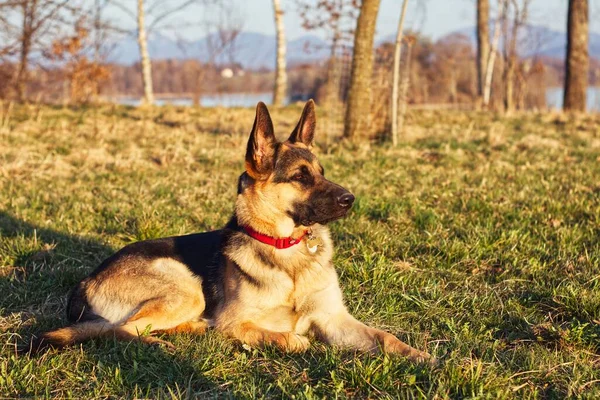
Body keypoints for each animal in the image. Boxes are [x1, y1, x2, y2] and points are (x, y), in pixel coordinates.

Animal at [34, 100, 432, 362]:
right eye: (301, 176)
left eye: (321, 172)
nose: (351, 199)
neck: (286, 248)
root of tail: (85, 282)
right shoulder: (237, 323)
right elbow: (289, 337)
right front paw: (292, 338)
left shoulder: (335, 320)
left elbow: (384, 336)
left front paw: (419, 356)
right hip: (185, 286)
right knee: (123, 330)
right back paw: (161, 343)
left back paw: (191, 329)